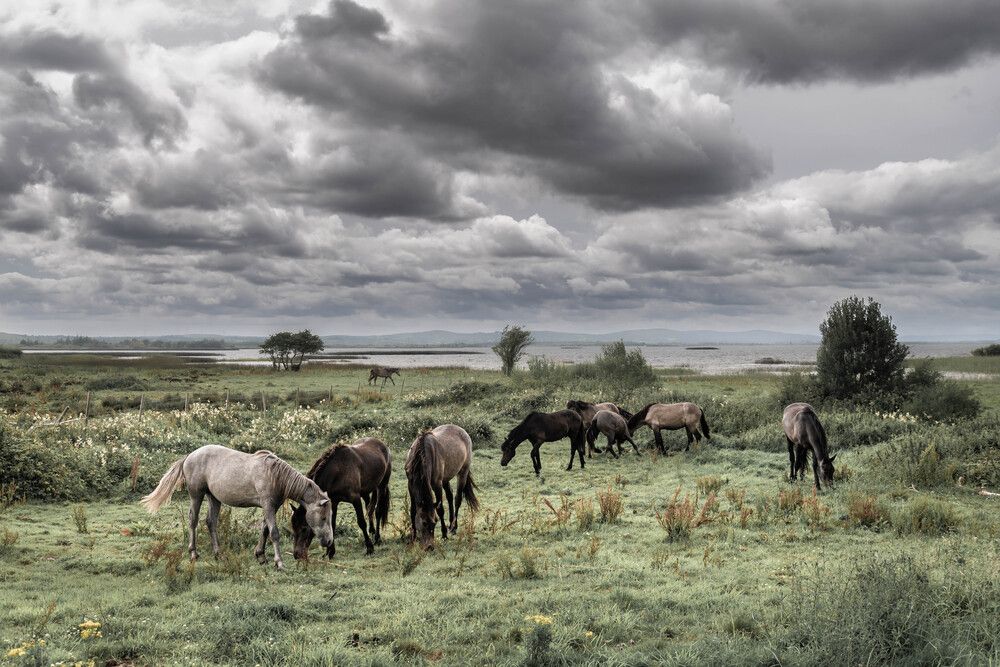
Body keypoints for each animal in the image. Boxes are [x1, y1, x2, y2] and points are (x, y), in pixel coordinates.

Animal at [141, 444, 332, 570]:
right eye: (323, 517)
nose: (328, 541)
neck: (275, 475)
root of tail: (189, 456)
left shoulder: (271, 507)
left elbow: (264, 530)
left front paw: (260, 556)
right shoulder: (268, 506)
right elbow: (274, 533)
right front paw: (279, 562)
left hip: (213, 498)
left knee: (211, 522)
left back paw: (218, 553)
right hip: (196, 495)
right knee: (193, 521)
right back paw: (193, 553)